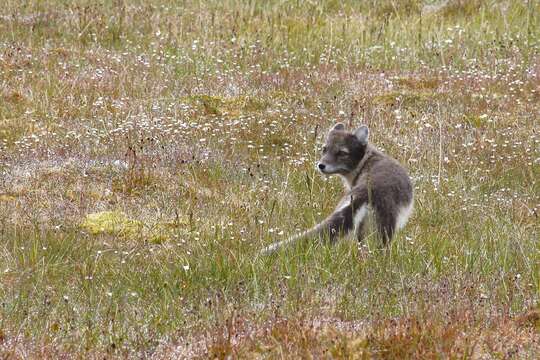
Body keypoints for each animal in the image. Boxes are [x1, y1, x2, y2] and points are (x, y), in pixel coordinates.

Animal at [262, 125, 414, 255]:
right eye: (324, 149)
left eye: (342, 152)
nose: (321, 165)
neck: (366, 160)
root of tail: (364, 192)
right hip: (383, 229)